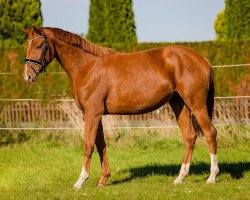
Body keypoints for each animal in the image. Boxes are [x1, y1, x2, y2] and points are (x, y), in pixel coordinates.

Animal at [21, 26, 219, 189]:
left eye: (39, 46)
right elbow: (101, 144)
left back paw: (212, 176)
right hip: (179, 104)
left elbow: (88, 144)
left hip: (196, 104)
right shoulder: (97, 114)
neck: (88, 67)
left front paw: (80, 181)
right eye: (27, 46)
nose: (28, 77)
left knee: (210, 133)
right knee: (189, 137)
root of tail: (202, 59)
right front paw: (103, 180)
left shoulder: (92, 113)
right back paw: (180, 178)